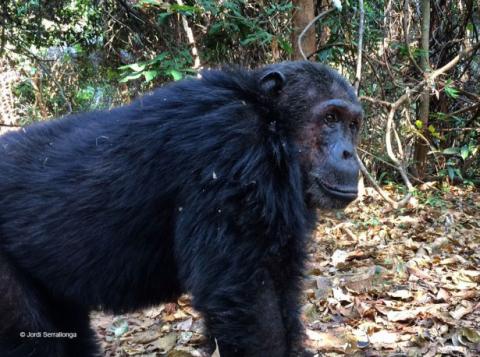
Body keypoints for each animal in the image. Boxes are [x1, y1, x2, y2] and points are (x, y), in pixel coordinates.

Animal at [0, 59, 360, 354]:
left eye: (353, 125)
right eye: (330, 118)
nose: (349, 153)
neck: (271, 125)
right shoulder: (232, 149)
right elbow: (251, 304)